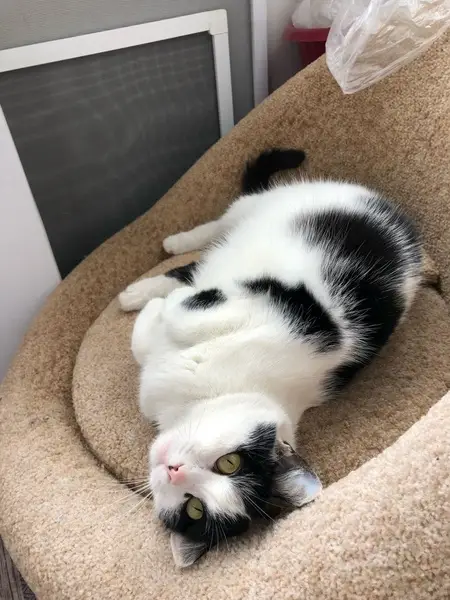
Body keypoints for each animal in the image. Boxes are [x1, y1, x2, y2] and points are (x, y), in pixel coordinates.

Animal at [119, 149, 422, 567]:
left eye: (194, 507)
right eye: (230, 461)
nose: (175, 470)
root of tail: (400, 221)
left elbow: (171, 318)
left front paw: (159, 309)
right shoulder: (296, 314)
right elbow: (179, 317)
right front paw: (159, 304)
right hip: (273, 215)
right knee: (220, 228)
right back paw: (165, 257)